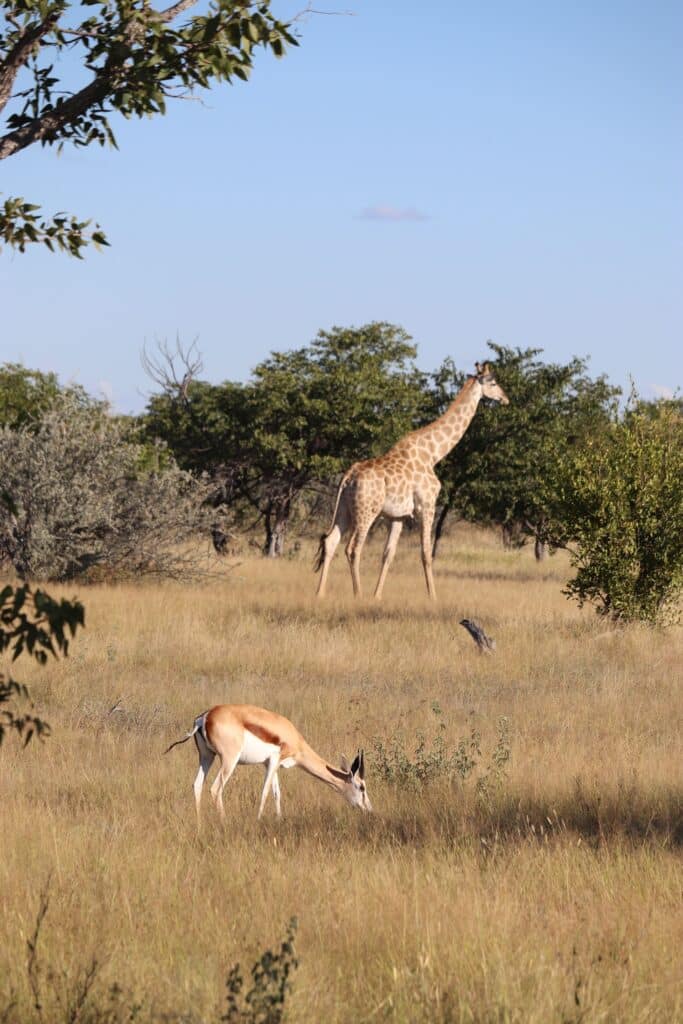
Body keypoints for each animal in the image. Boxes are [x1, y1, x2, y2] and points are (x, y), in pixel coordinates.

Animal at [314, 362, 509, 600]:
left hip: (344, 508)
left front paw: (377, 596)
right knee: (352, 548)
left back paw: (319, 594)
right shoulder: (427, 505)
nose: (505, 399)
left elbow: (388, 554)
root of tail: (348, 477)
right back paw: (357, 595)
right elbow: (426, 553)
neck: (433, 453)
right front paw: (433, 597)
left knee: (330, 541)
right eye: (493, 382)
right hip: (366, 510)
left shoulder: (398, 515)